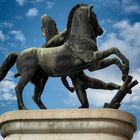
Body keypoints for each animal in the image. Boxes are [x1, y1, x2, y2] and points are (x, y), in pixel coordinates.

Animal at [0, 2, 129, 109]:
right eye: (95, 15)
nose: (101, 30)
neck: (80, 38)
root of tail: (19, 54)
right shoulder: (91, 58)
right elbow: (114, 50)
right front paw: (125, 68)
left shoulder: (93, 65)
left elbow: (114, 58)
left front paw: (124, 74)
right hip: (28, 74)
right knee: (18, 88)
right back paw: (23, 108)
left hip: (40, 79)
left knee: (35, 96)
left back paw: (45, 110)